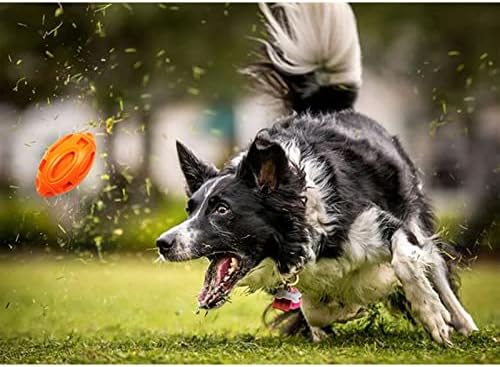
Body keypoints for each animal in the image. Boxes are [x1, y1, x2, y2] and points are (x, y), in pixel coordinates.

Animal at [155, 2, 476, 346]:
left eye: (222, 210)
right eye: (190, 209)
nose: (162, 242)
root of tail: (329, 108)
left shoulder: (384, 224)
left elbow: (404, 262)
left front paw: (431, 313)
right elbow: (314, 309)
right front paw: (342, 310)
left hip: (415, 215)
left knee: (437, 268)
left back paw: (463, 322)